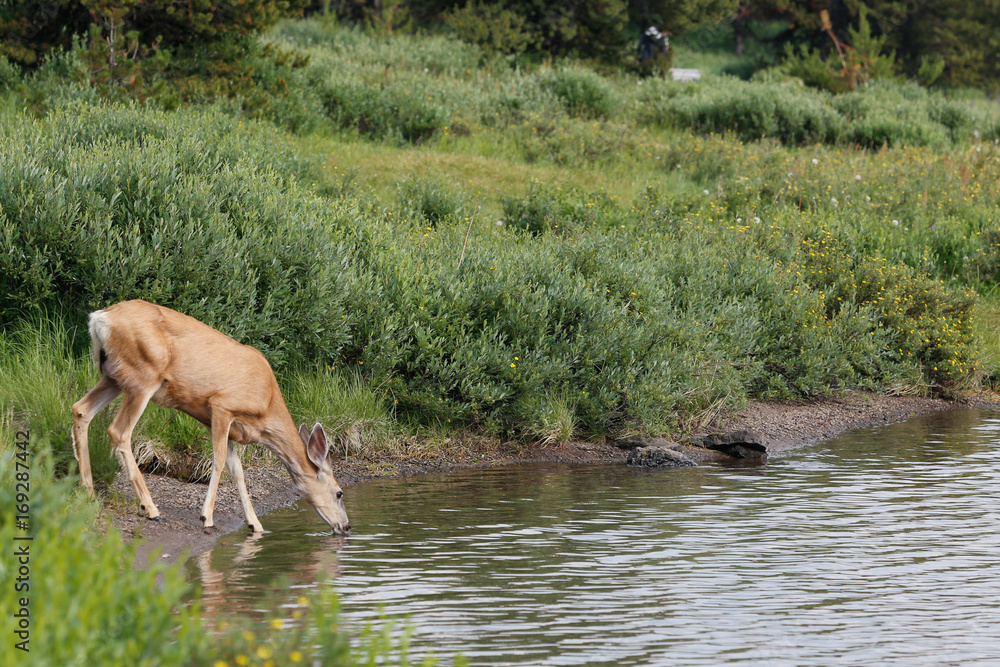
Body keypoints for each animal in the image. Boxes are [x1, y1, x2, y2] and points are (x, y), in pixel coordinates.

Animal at [72, 300, 352, 536]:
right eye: (339, 493)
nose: (347, 526)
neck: (265, 408)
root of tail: (100, 318)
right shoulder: (221, 406)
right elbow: (218, 462)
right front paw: (206, 517)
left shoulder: (217, 422)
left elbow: (237, 470)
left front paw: (255, 524)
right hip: (143, 377)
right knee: (118, 431)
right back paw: (150, 509)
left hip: (112, 376)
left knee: (81, 410)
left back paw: (88, 491)